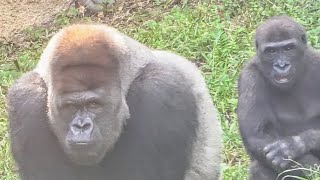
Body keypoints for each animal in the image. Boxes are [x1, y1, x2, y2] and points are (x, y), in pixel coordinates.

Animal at [238, 15, 320, 180]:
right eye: (271, 51)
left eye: (289, 48)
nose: (282, 65)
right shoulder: (249, 77)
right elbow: (257, 136)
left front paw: (296, 144)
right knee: (258, 167)